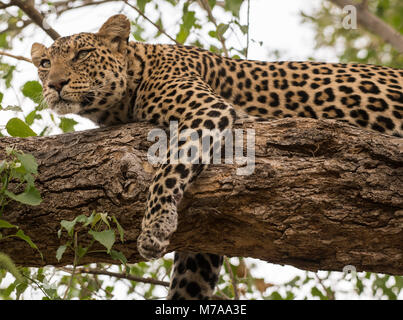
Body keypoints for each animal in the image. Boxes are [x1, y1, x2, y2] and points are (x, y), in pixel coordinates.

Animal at [30, 14, 402, 300]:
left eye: (83, 54)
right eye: (45, 63)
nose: (55, 83)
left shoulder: (206, 110)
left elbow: (169, 169)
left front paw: (155, 225)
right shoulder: (205, 242)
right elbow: (189, 280)